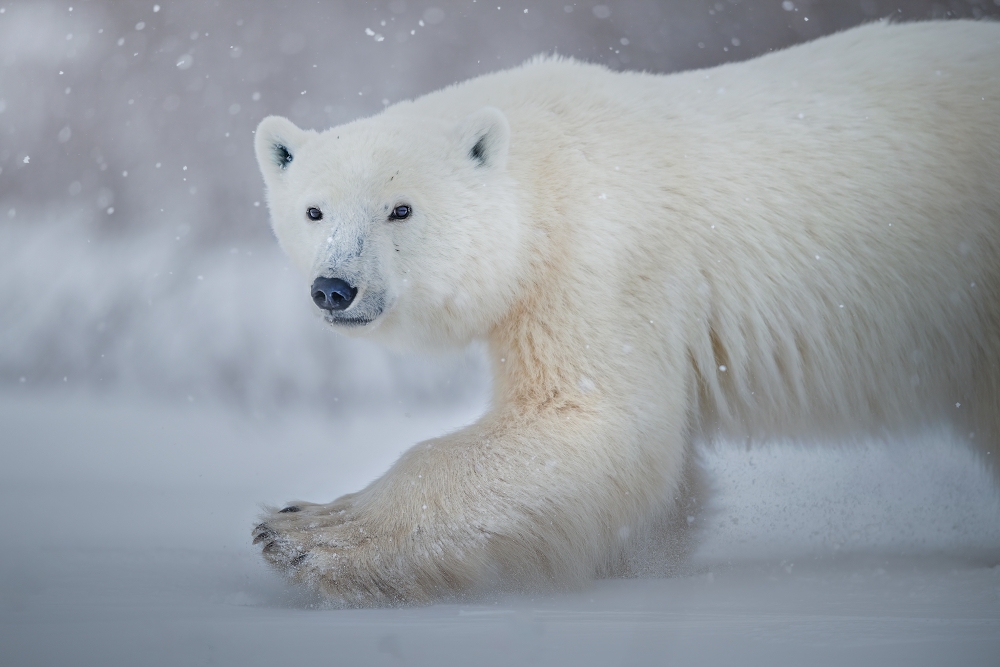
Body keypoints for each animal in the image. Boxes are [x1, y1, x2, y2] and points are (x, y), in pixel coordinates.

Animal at [252, 19, 1000, 606]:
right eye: (314, 210)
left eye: (400, 208)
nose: (335, 287)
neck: (542, 162)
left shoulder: (601, 259)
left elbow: (591, 417)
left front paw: (303, 529)